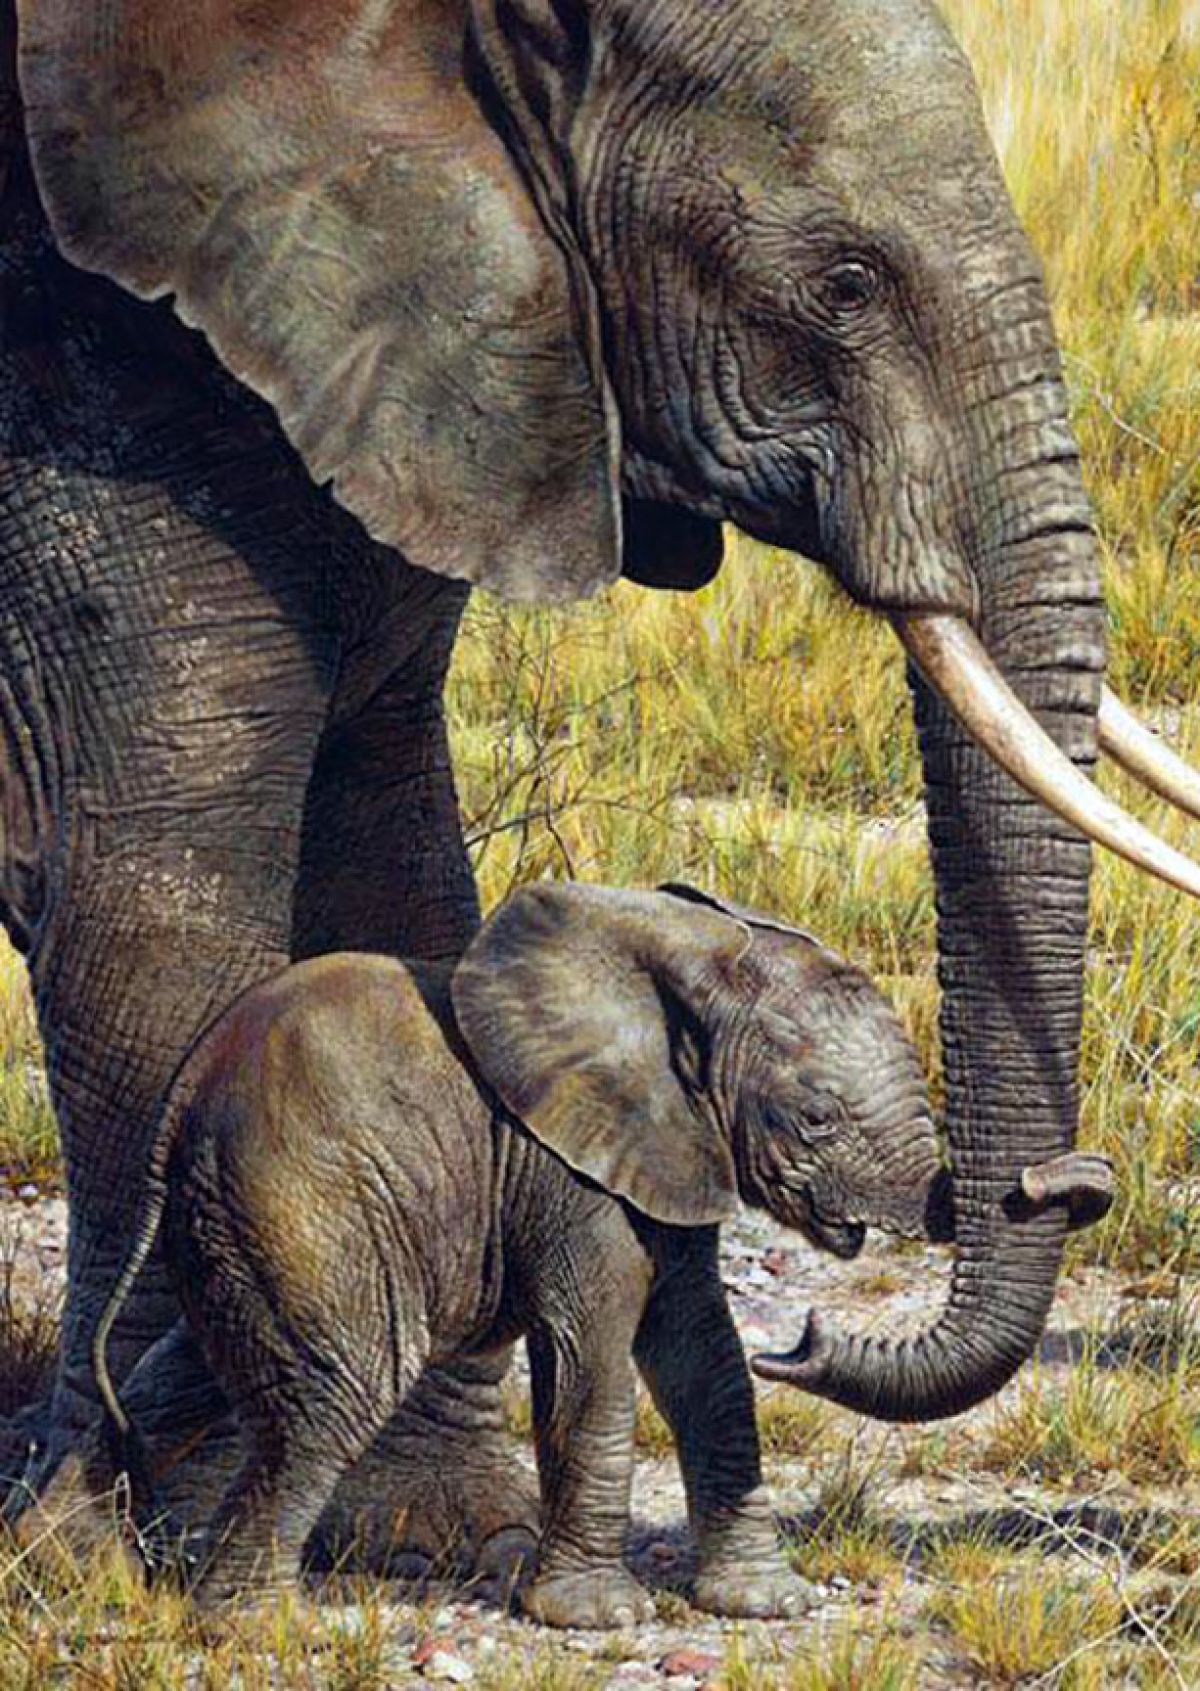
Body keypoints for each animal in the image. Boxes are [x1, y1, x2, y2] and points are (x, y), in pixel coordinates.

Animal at [95, 880, 961, 1623]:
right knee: (336, 1390)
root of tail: (186, 1089)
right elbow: (596, 1358)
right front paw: (599, 1616)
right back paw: (251, 1625)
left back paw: (90, 1565)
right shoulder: (572, 1171)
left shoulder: (664, 1151)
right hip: (303, 1203)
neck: (682, 946)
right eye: (817, 1116)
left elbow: (701, 1355)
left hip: (247, 1223)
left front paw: (766, 1602)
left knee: (185, 1380)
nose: (803, 1335)